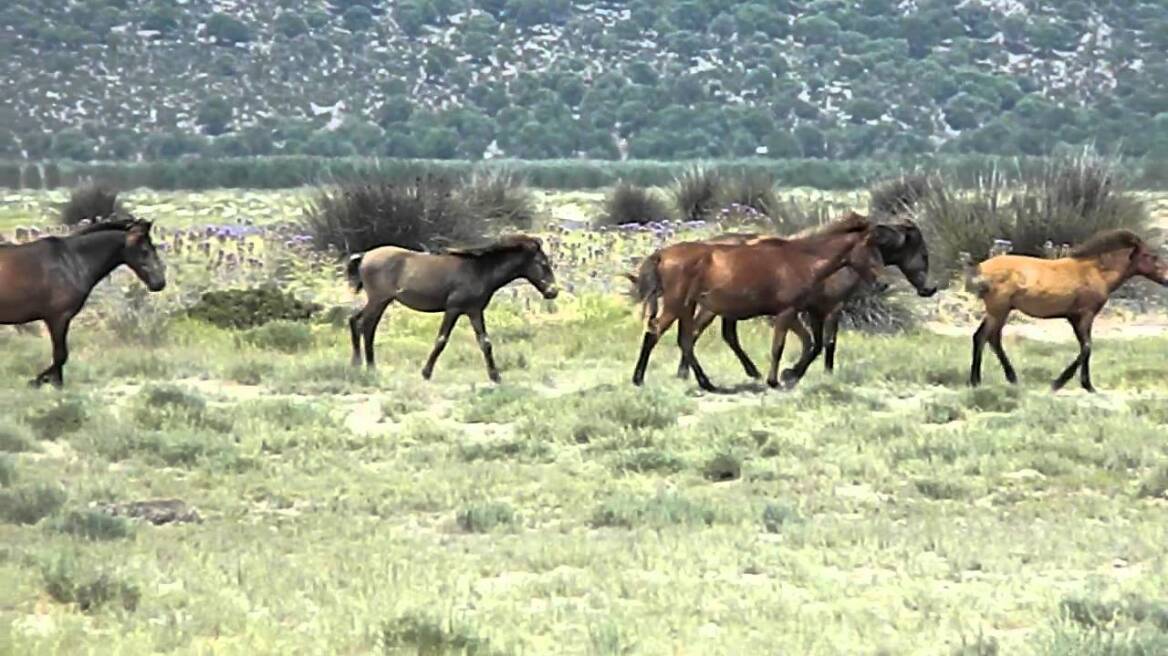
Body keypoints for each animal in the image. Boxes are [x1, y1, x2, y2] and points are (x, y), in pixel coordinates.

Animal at [0, 217, 167, 385]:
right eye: (145, 250)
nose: (159, 282)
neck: (71, 261)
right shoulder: (58, 318)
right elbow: (60, 356)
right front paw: (41, 381)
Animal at [343, 233, 558, 380]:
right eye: (543, 263)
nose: (553, 291)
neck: (479, 270)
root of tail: (364, 256)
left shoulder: (474, 311)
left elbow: (485, 342)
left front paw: (495, 376)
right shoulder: (453, 309)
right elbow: (441, 340)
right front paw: (426, 373)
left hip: (378, 301)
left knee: (356, 321)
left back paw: (358, 364)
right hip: (379, 300)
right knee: (367, 326)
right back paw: (370, 367)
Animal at [635, 212, 878, 389]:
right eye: (873, 247)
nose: (881, 282)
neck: (803, 260)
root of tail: (662, 254)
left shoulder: (800, 312)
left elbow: (810, 342)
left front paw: (791, 374)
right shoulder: (794, 311)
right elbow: (784, 346)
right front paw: (777, 379)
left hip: (688, 307)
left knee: (687, 339)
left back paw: (705, 382)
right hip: (679, 305)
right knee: (658, 332)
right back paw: (640, 378)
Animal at [677, 217, 939, 385]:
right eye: (924, 254)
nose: (930, 289)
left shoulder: (815, 311)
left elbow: (818, 343)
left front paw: (803, 372)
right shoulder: (828, 309)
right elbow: (823, 343)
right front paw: (798, 373)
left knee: (723, 335)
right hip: (712, 308)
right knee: (696, 332)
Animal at [967, 227, 1168, 389]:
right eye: (1151, 256)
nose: (1167, 278)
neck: (1096, 271)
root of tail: (980, 269)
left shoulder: (1077, 318)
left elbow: (1086, 347)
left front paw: (1087, 385)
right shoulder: (1083, 315)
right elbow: (1086, 347)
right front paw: (1061, 383)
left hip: (1000, 311)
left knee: (986, 338)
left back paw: (996, 379)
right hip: (999, 310)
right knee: (986, 337)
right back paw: (982, 380)